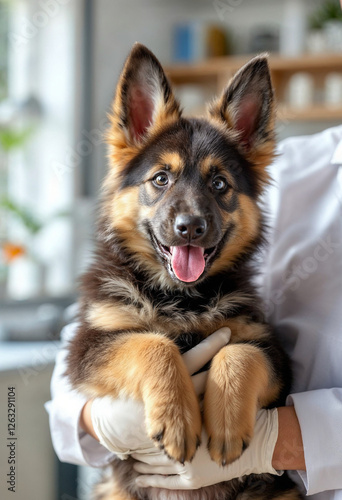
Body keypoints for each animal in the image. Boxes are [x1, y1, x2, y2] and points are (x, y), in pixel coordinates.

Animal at [67, 45, 302, 500]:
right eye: (161, 178)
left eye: (219, 183)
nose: (189, 227)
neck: (177, 298)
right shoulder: (88, 347)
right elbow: (152, 344)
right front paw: (177, 419)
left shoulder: (273, 352)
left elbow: (239, 351)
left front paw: (226, 423)